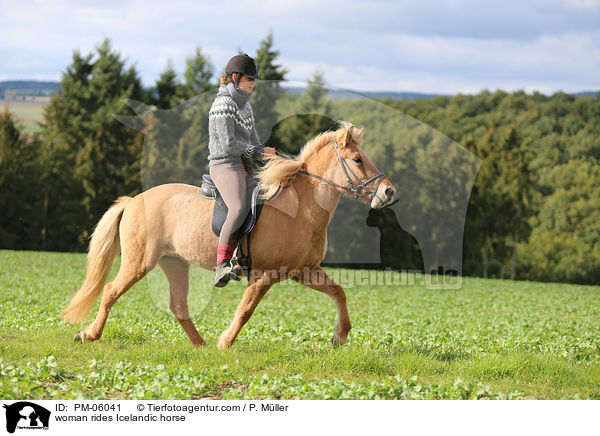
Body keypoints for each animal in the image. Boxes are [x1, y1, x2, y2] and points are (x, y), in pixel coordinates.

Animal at [59, 121, 398, 350]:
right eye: (358, 160)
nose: (388, 192)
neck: (300, 208)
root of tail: (133, 201)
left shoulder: (304, 271)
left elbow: (339, 292)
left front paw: (339, 336)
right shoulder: (265, 274)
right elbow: (247, 309)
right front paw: (226, 341)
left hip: (174, 262)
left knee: (178, 306)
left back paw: (201, 346)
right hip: (139, 262)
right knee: (110, 291)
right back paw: (88, 334)